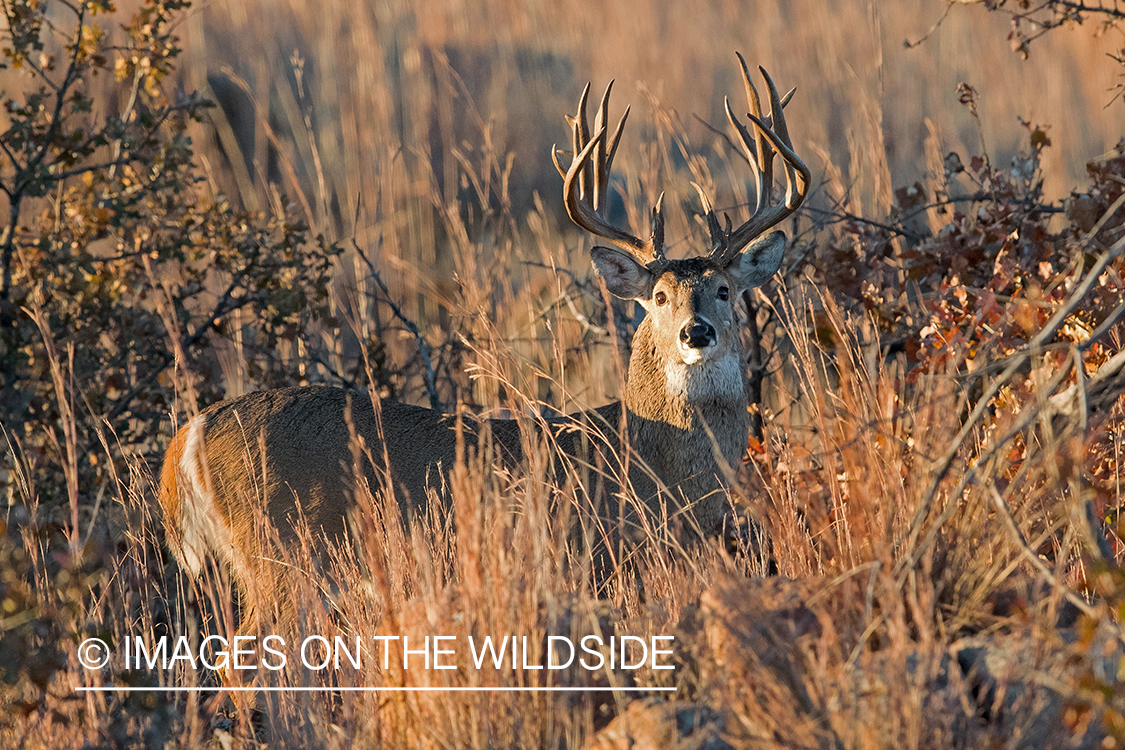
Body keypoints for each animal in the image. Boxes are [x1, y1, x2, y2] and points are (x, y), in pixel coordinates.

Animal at [158, 51, 810, 629]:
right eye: (659, 296)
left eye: (724, 289)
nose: (696, 331)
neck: (650, 460)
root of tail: (188, 438)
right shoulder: (592, 561)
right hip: (281, 558)